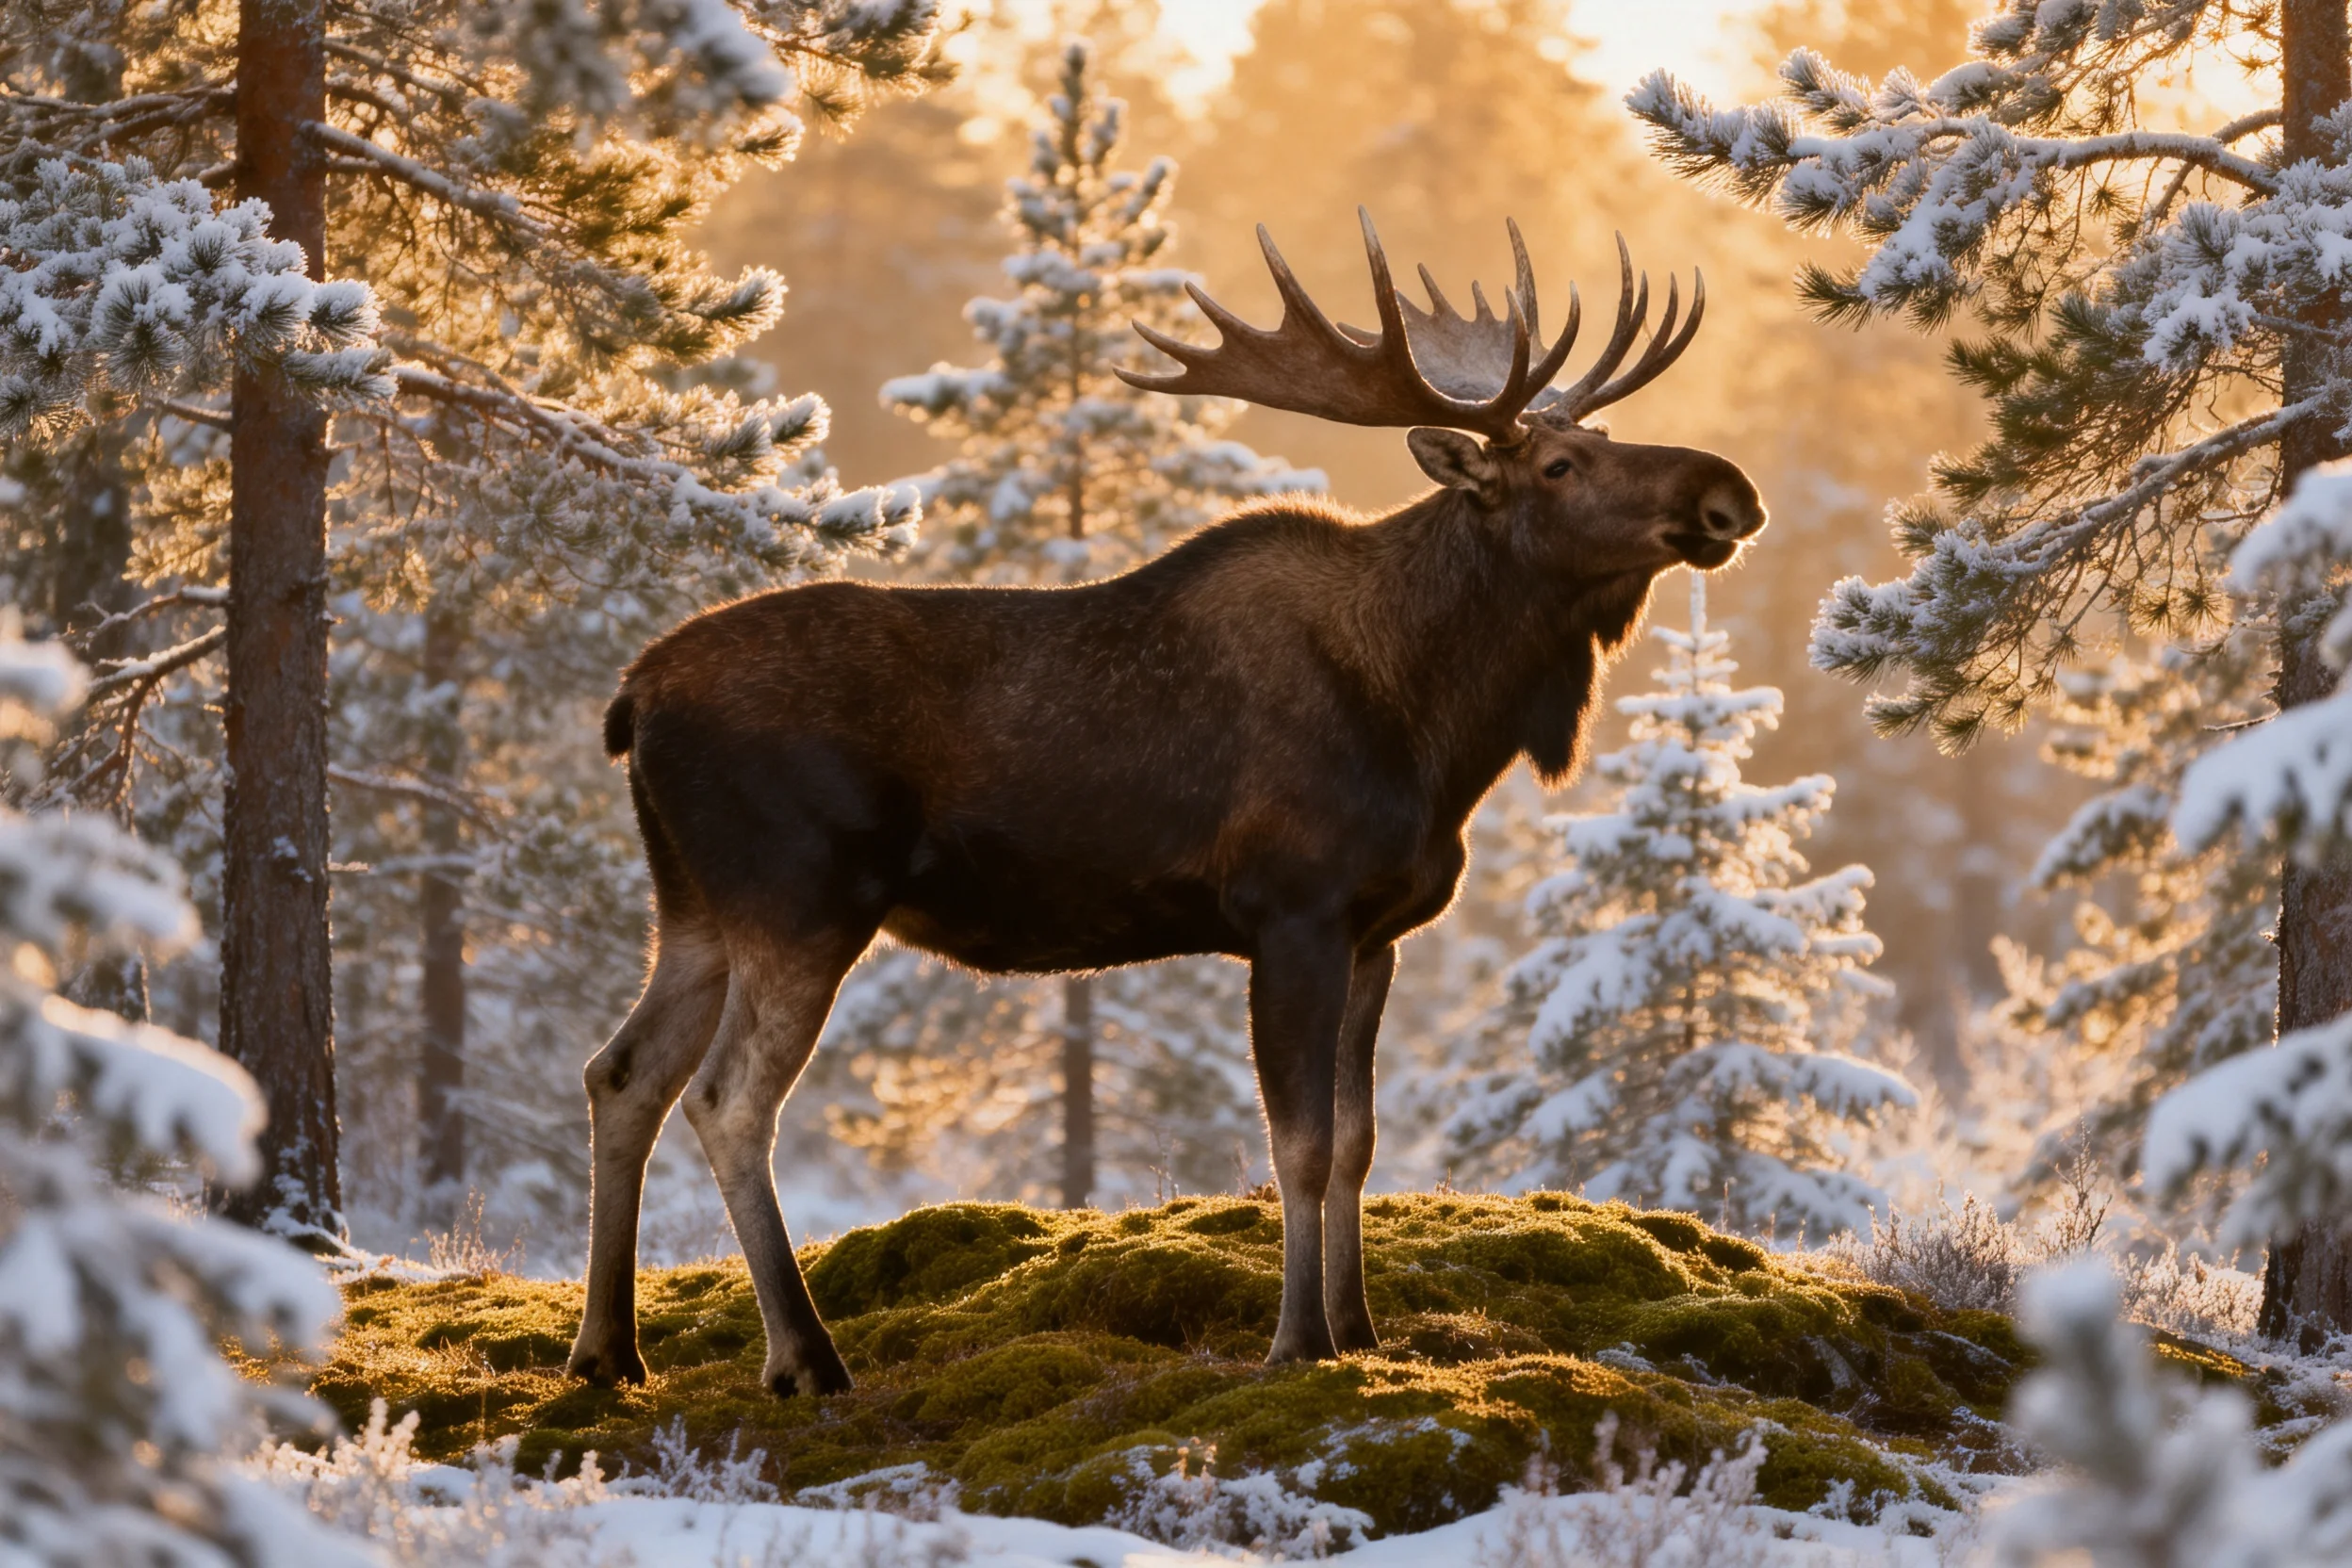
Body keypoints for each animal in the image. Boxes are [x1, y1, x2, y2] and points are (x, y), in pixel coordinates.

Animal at [565, 211, 1765, 1398]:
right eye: (1563, 463)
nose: (1729, 492)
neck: (1437, 720)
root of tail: (633, 697)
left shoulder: (1377, 933)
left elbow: (1359, 1141)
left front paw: (1362, 1327)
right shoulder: (1293, 911)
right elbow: (1300, 1145)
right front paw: (1298, 1339)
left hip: (696, 908)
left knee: (620, 1072)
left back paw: (608, 1348)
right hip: (802, 895)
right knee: (727, 1099)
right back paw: (804, 1355)